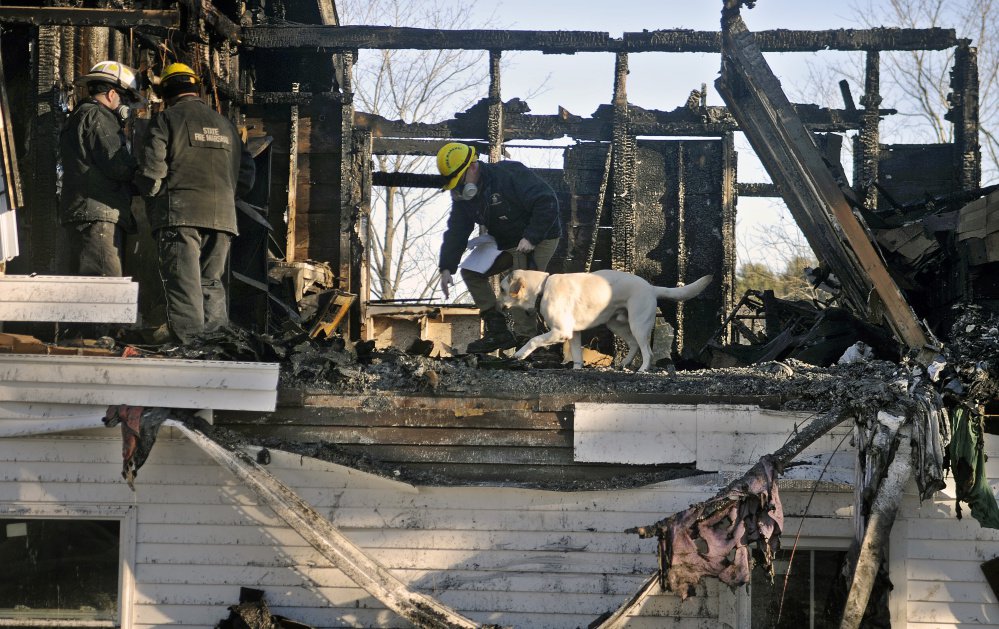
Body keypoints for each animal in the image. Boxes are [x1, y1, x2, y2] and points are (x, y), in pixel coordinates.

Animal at [500, 268, 712, 370]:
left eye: (502, 290)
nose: (497, 306)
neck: (543, 288)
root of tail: (651, 288)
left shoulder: (561, 331)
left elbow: (534, 339)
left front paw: (519, 354)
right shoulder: (573, 334)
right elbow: (577, 356)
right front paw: (577, 369)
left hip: (638, 324)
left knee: (648, 352)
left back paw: (642, 369)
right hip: (616, 324)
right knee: (634, 345)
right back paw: (624, 364)